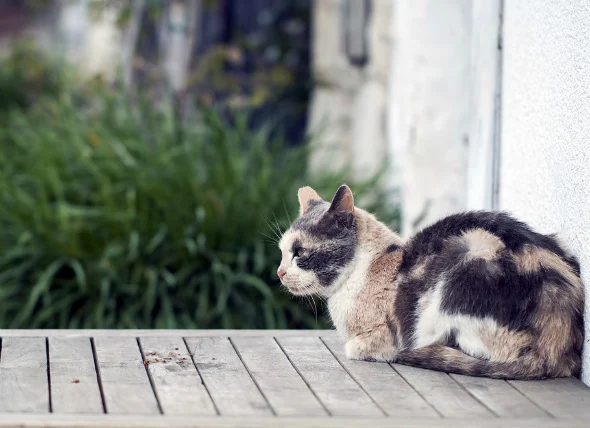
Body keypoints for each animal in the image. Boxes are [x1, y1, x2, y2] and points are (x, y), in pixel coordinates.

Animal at [278, 184, 588, 378]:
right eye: (281, 252)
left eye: (300, 252)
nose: (279, 272)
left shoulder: (381, 336)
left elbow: (358, 347)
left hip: (462, 267)